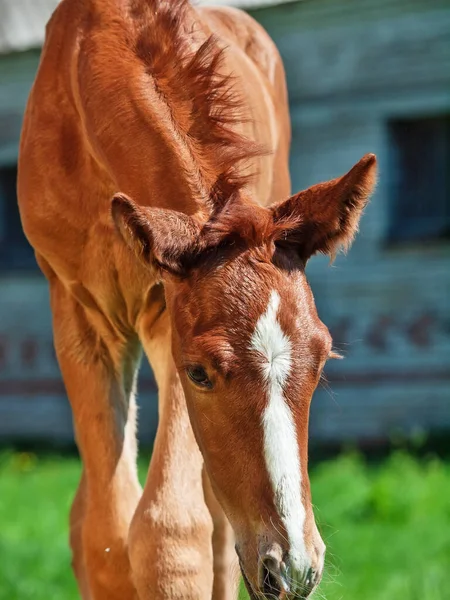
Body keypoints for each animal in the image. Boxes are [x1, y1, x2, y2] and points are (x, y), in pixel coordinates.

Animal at [17, 1, 376, 600]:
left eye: (322, 362)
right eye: (201, 373)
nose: (297, 568)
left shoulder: (169, 315)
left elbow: (171, 533)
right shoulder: (81, 314)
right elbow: (105, 532)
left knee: (217, 529)